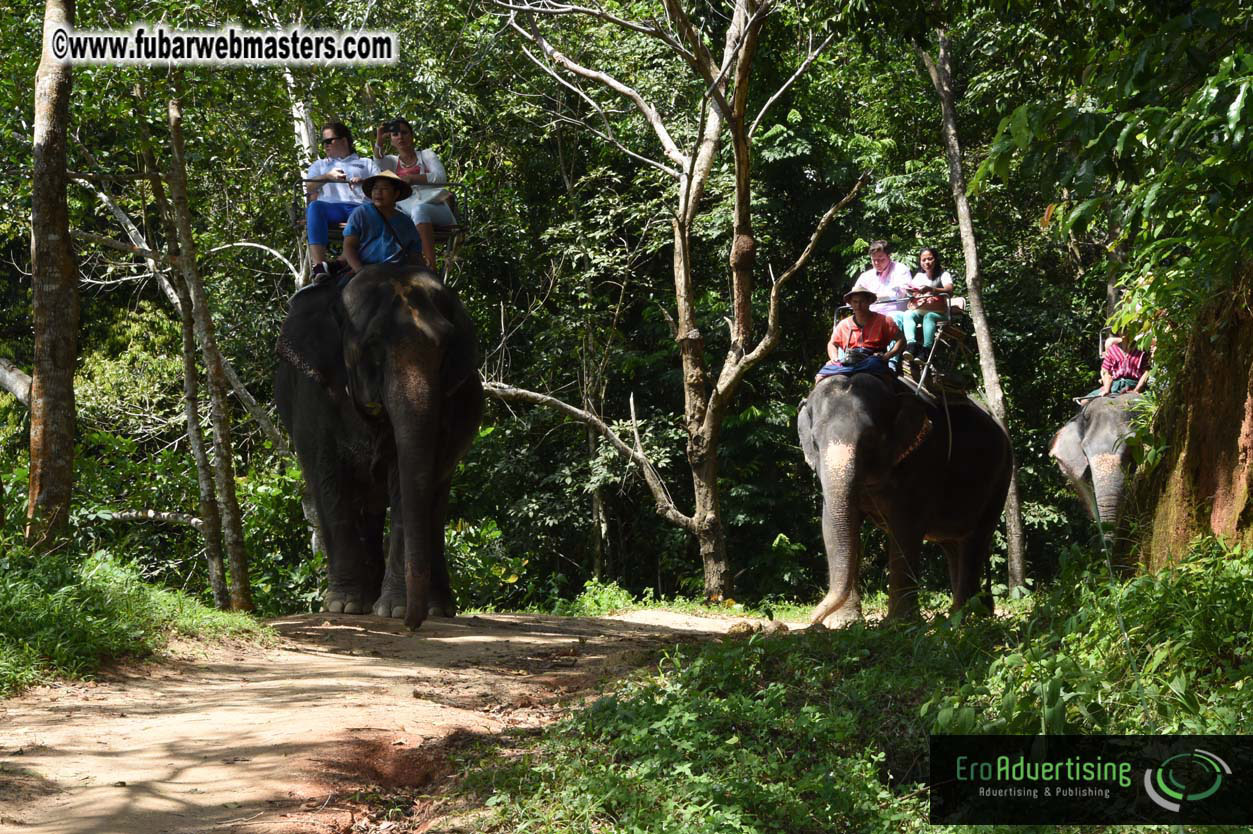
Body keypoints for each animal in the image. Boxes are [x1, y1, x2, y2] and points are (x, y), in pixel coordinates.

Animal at [275, 264, 483, 630]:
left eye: (445, 349)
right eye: (371, 347)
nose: (411, 627)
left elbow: (404, 480)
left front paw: (394, 610)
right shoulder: (313, 392)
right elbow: (327, 477)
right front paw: (344, 606)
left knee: (433, 505)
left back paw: (435, 609)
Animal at [797, 373, 1012, 627]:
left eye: (870, 440)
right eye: (815, 443)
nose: (813, 618)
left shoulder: (924, 458)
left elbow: (905, 528)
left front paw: (900, 623)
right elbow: (832, 525)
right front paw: (842, 623)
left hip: (1000, 479)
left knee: (975, 540)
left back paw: (964, 617)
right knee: (954, 547)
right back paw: (969, 613)